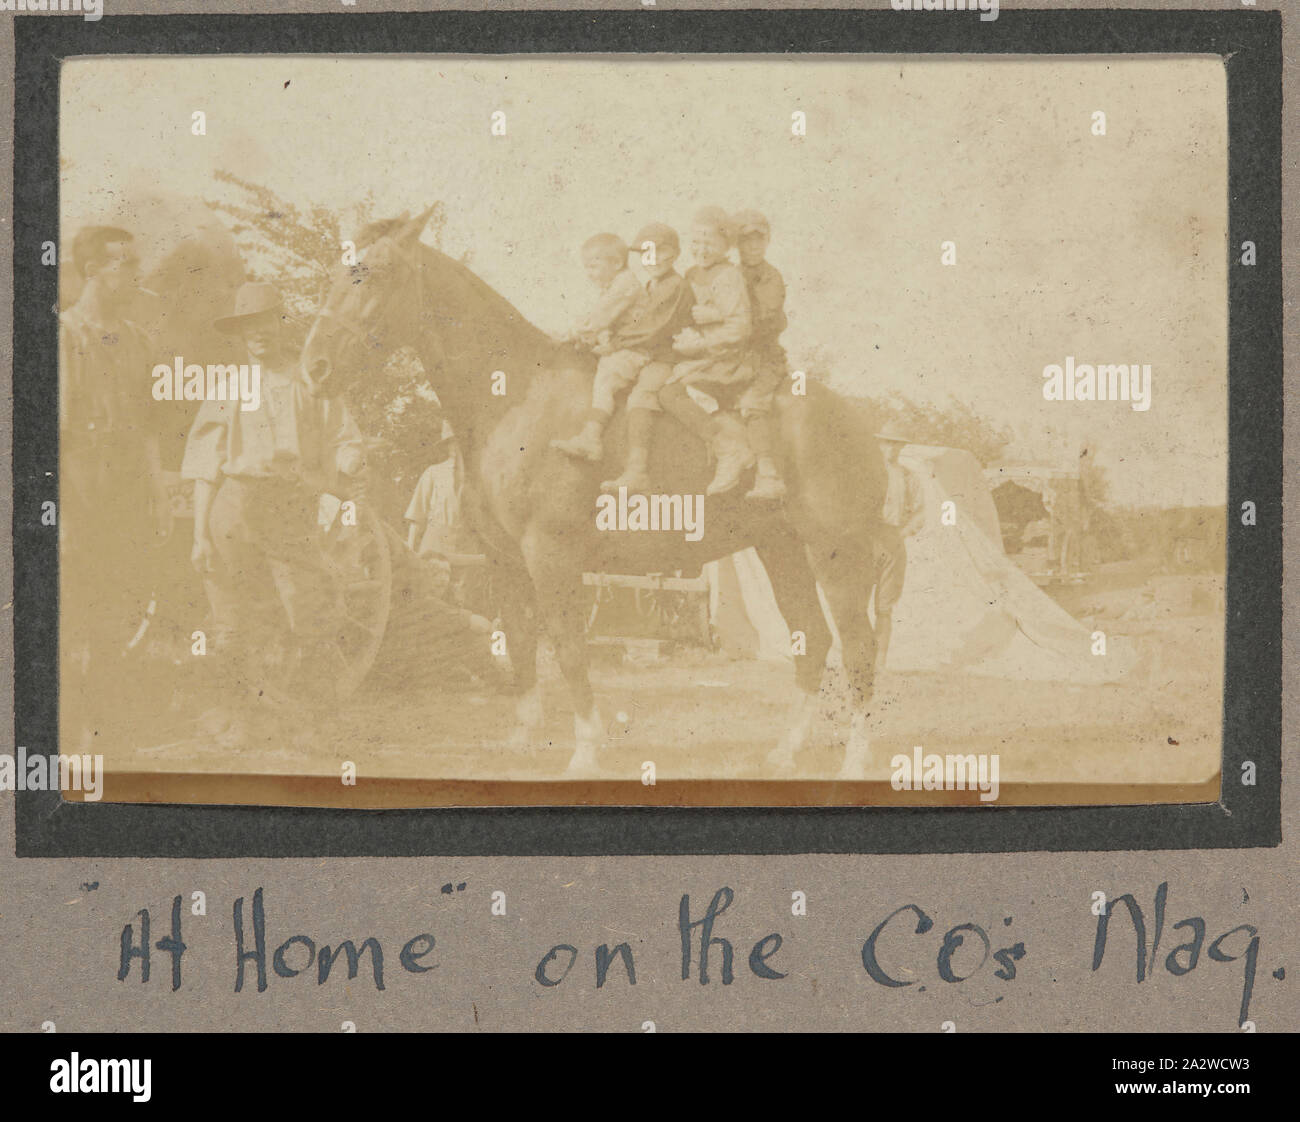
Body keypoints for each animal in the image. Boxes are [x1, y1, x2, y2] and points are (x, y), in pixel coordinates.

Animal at [299, 206, 889, 774]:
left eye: (372, 271)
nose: (314, 367)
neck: (517, 396)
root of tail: (859, 422)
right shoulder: (504, 562)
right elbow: (520, 645)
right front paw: (524, 740)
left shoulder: (551, 556)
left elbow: (567, 649)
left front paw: (585, 749)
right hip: (782, 551)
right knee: (812, 639)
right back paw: (786, 751)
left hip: (837, 555)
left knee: (859, 646)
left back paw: (857, 758)